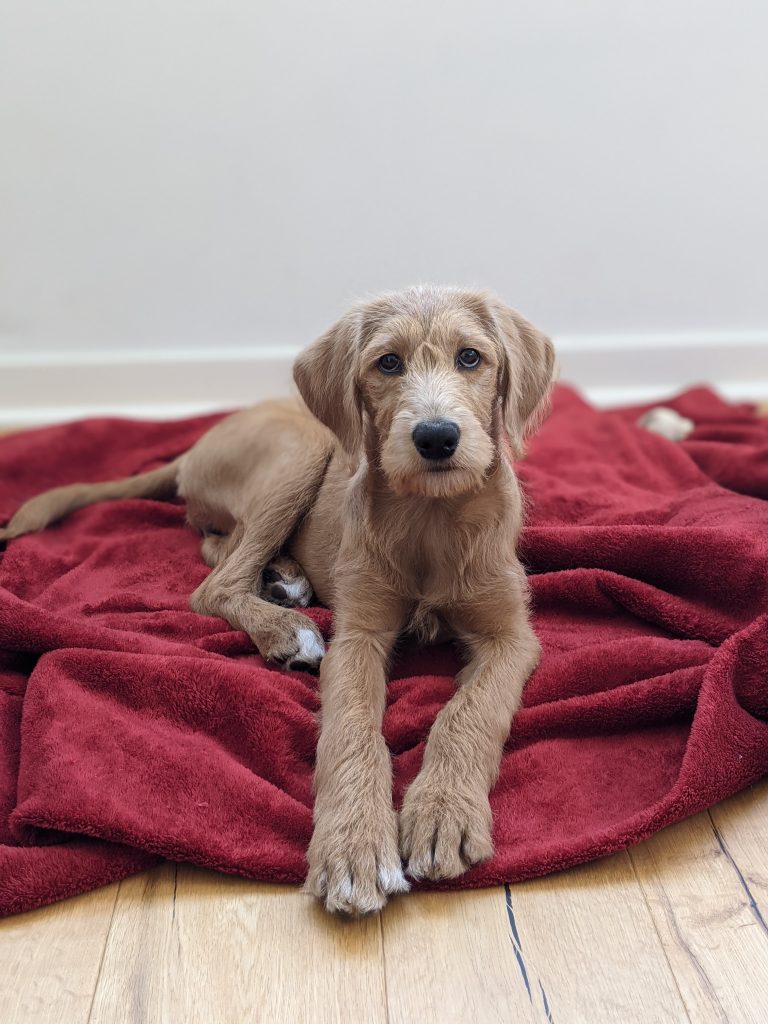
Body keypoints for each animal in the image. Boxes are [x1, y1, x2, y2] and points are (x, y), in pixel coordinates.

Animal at [0, 290, 557, 921]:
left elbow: (470, 711)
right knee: (214, 581)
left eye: (470, 357)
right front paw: (353, 847)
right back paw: (286, 624)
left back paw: (284, 579)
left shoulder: (511, 636)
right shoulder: (356, 636)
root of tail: (197, 443)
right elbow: (352, 727)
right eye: (388, 363)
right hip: (304, 453)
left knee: (215, 544)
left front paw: (443, 809)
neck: (431, 518)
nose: (436, 437)